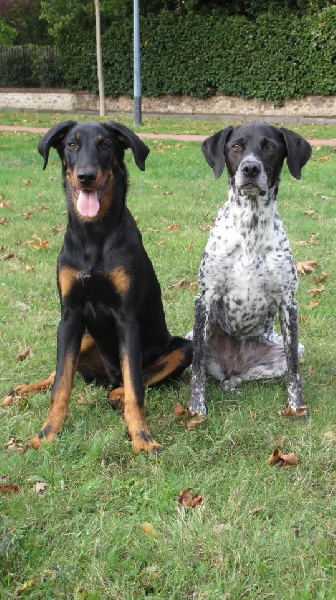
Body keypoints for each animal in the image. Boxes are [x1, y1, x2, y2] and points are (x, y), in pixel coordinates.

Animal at [11, 120, 192, 450]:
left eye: (105, 145)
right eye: (71, 144)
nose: (86, 176)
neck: (93, 234)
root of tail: (105, 376)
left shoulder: (126, 320)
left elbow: (136, 388)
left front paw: (142, 437)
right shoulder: (70, 316)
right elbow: (61, 384)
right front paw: (46, 434)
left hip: (186, 348)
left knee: (131, 381)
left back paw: (115, 395)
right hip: (84, 335)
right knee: (57, 374)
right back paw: (25, 388)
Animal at [189, 123, 312, 418]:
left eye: (270, 146)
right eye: (236, 146)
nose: (250, 169)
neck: (250, 226)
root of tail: (232, 364)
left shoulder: (288, 303)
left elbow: (294, 369)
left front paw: (296, 407)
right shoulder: (204, 299)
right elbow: (197, 369)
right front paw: (196, 409)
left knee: (242, 377)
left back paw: (234, 383)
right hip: (189, 337)